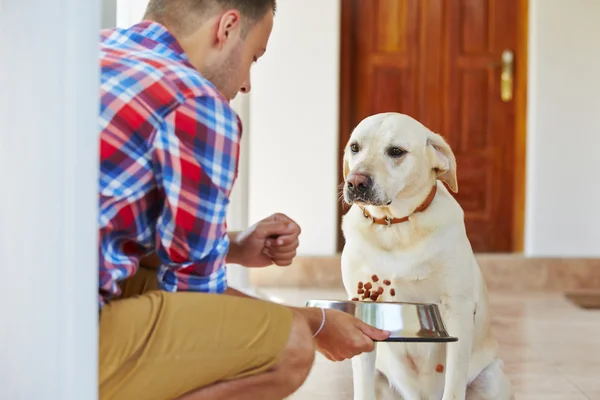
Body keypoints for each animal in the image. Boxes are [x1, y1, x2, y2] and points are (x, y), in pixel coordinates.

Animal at [340, 112, 512, 400]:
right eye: (355, 147)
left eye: (396, 151)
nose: (355, 182)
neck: (396, 226)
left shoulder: (458, 309)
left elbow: (453, 384)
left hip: (491, 377)